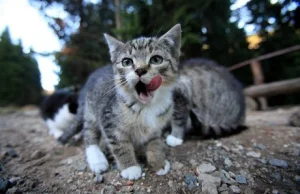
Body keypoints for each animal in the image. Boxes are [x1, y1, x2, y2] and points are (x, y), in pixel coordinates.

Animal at [69, 24, 180, 180]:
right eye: (126, 62)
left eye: (156, 59)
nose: (140, 70)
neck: (147, 106)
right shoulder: (108, 120)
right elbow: (120, 145)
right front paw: (130, 167)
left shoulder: (156, 128)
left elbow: (155, 143)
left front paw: (159, 162)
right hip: (91, 111)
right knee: (89, 134)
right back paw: (97, 159)